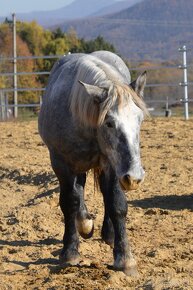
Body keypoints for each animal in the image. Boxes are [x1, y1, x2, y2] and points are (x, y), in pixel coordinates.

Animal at [38, 50, 148, 276]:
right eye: (109, 122)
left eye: (139, 119)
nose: (134, 177)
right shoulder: (61, 163)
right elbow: (69, 201)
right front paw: (70, 252)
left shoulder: (112, 165)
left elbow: (116, 203)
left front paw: (125, 259)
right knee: (78, 190)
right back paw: (84, 224)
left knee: (104, 194)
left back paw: (108, 234)